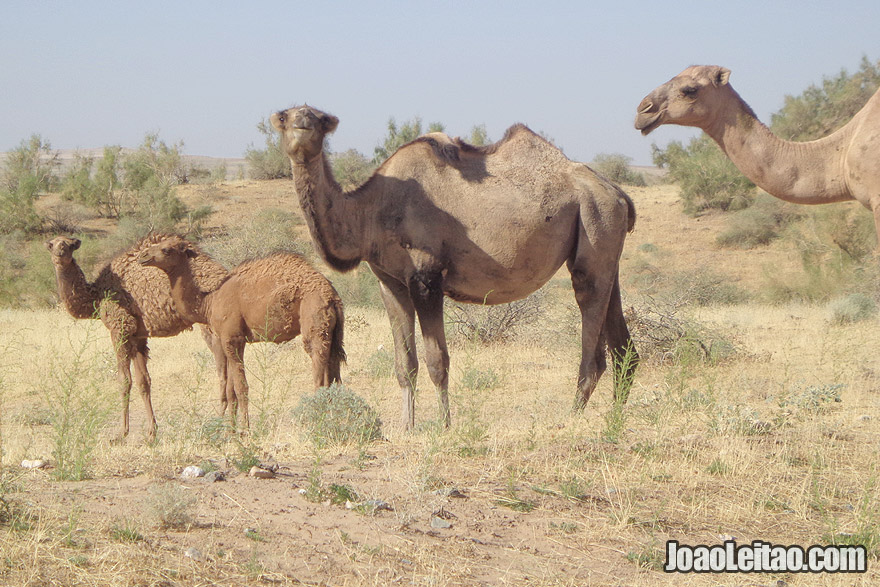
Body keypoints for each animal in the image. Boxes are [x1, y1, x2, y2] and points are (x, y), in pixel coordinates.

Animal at [46, 234, 229, 440]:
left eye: (70, 244)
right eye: (51, 244)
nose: (60, 252)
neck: (97, 296)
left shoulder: (120, 327)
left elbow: (124, 380)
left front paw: (121, 433)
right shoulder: (138, 336)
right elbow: (144, 381)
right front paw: (151, 432)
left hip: (211, 325)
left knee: (223, 369)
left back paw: (220, 420)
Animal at [136, 235, 346, 432]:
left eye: (167, 249)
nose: (143, 256)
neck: (208, 303)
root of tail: (332, 297)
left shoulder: (233, 338)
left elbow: (241, 387)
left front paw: (245, 430)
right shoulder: (228, 340)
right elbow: (231, 391)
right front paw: (231, 431)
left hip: (314, 321)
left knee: (319, 374)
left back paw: (317, 420)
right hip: (332, 333)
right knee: (334, 374)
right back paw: (333, 418)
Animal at [272, 105, 636, 430]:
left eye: (320, 118)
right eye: (284, 115)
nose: (302, 123)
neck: (370, 212)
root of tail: (618, 194)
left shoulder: (427, 279)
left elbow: (437, 361)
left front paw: (445, 426)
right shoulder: (390, 282)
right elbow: (404, 363)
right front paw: (406, 427)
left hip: (595, 220)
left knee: (592, 332)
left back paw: (571, 420)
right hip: (606, 248)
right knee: (623, 347)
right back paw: (615, 420)